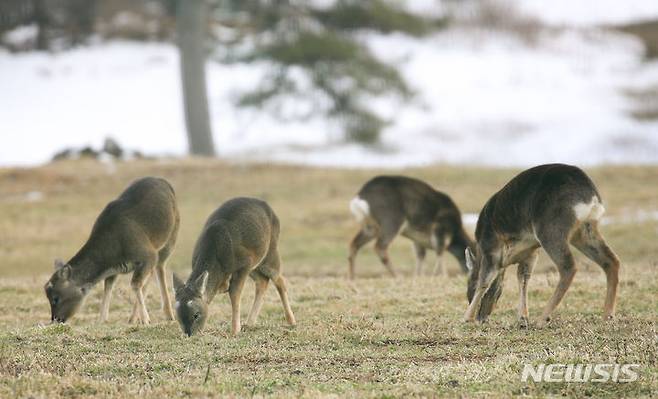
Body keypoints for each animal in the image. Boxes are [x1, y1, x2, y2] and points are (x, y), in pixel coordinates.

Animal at [43, 178, 179, 324]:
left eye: (56, 298)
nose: (56, 319)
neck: (112, 254)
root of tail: (164, 182)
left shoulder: (147, 254)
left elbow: (135, 284)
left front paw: (146, 320)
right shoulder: (114, 270)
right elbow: (108, 287)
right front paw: (101, 320)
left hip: (170, 238)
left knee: (160, 268)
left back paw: (169, 315)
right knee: (152, 272)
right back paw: (133, 318)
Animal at [172, 198, 294, 336]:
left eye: (196, 315)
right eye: (177, 316)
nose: (189, 334)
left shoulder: (244, 263)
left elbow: (235, 293)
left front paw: (235, 330)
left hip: (270, 253)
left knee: (279, 280)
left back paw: (291, 321)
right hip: (255, 265)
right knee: (263, 281)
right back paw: (249, 323)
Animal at [462, 163, 620, 328]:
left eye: (469, 285)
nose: (481, 318)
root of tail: (592, 197)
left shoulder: (490, 249)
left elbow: (484, 281)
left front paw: (466, 318)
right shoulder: (531, 253)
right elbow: (523, 279)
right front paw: (522, 318)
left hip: (550, 229)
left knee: (568, 266)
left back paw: (542, 318)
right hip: (584, 230)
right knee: (611, 261)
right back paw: (608, 315)